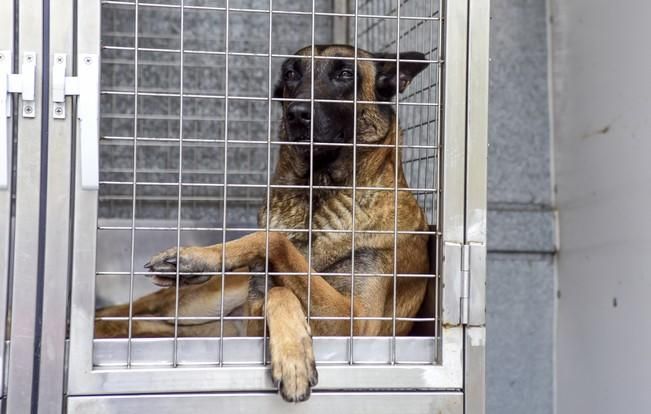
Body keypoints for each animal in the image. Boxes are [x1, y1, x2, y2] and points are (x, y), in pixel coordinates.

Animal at [97, 44, 432, 402]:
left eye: (345, 74)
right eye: (291, 73)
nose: (296, 114)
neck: (316, 196)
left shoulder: (357, 322)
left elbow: (275, 246)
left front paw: (294, 359)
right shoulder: (255, 320)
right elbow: (277, 279)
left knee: (148, 325)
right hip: (197, 304)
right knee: (135, 312)